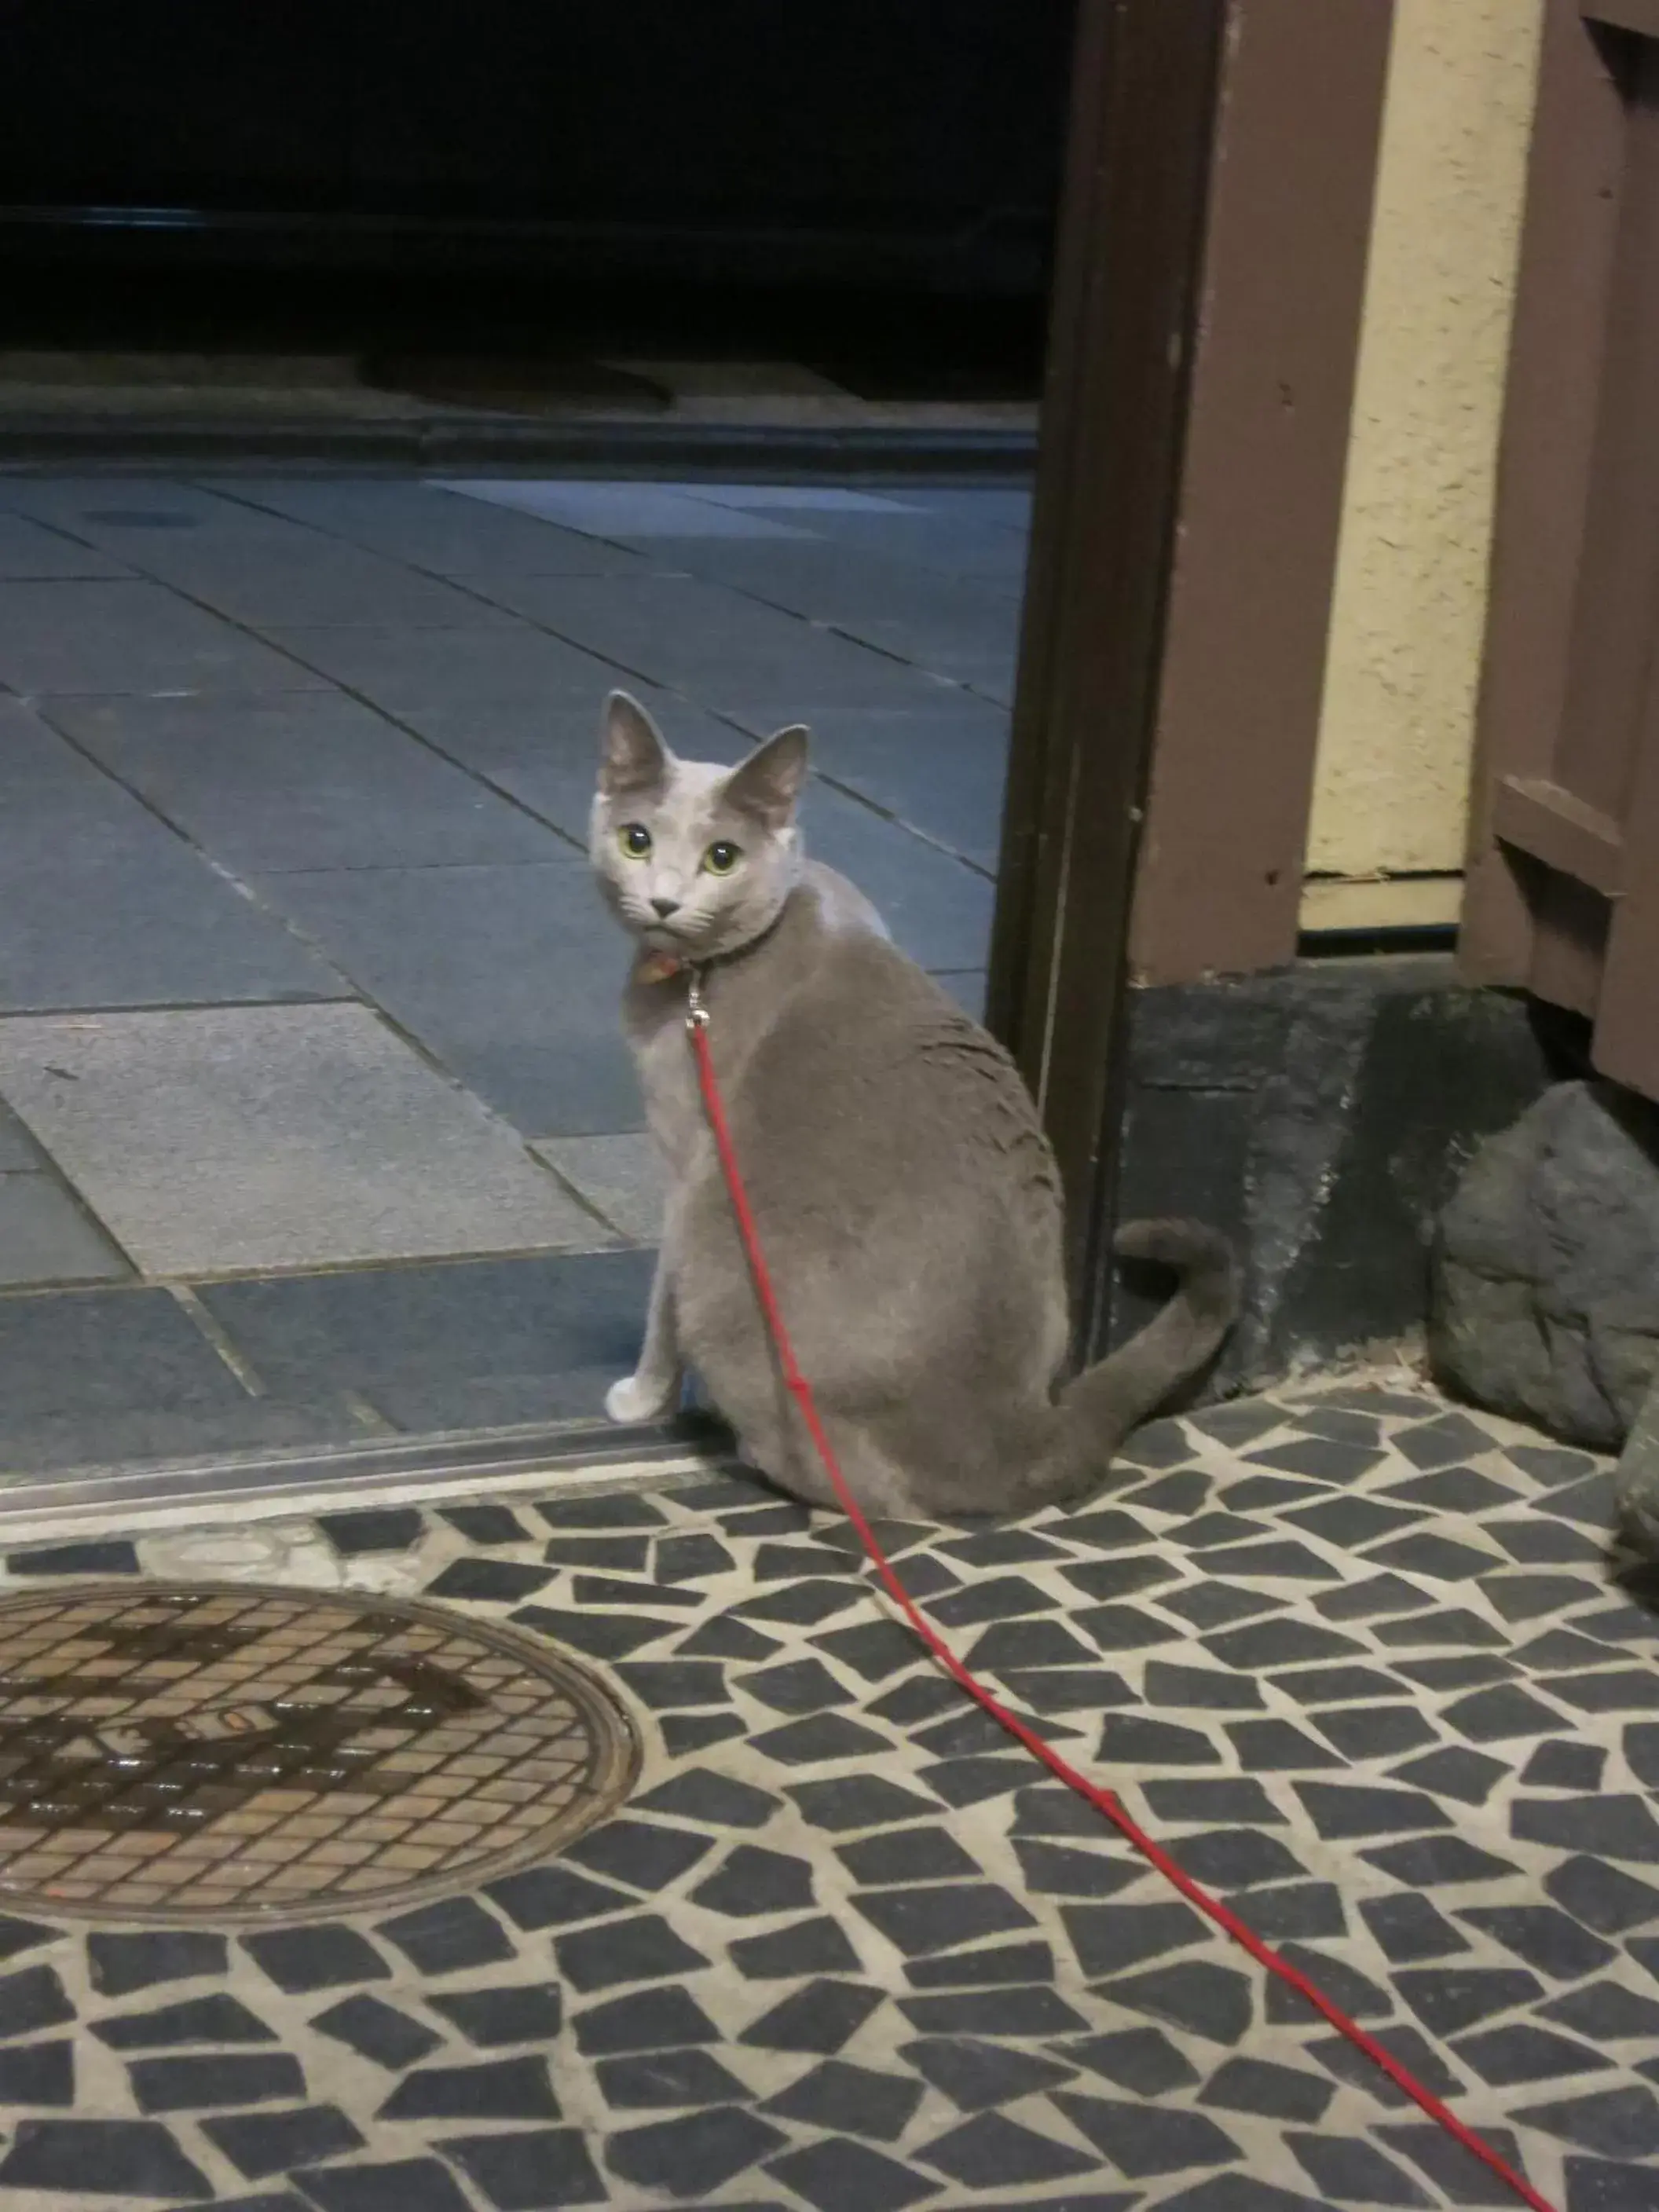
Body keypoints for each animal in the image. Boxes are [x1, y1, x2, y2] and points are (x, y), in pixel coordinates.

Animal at [592, 694, 1238, 1522]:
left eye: (722, 857)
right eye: (636, 840)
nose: (666, 899)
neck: (702, 975)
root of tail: (1021, 1434)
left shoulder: (686, 1155)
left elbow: (659, 1304)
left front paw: (642, 1397)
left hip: (721, 1254)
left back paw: (754, 1450)